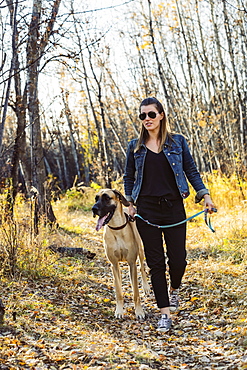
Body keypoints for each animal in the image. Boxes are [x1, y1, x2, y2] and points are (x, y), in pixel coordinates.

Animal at [91, 189, 150, 320]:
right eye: (96, 198)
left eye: (107, 198)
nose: (94, 209)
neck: (116, 228)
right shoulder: (113, 264)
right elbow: (118, 291)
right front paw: (119, 311)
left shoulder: (132, 263)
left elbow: (136, 293)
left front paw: (139, 312)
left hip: (140, 250)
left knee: (142, 268)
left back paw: (146, 287)